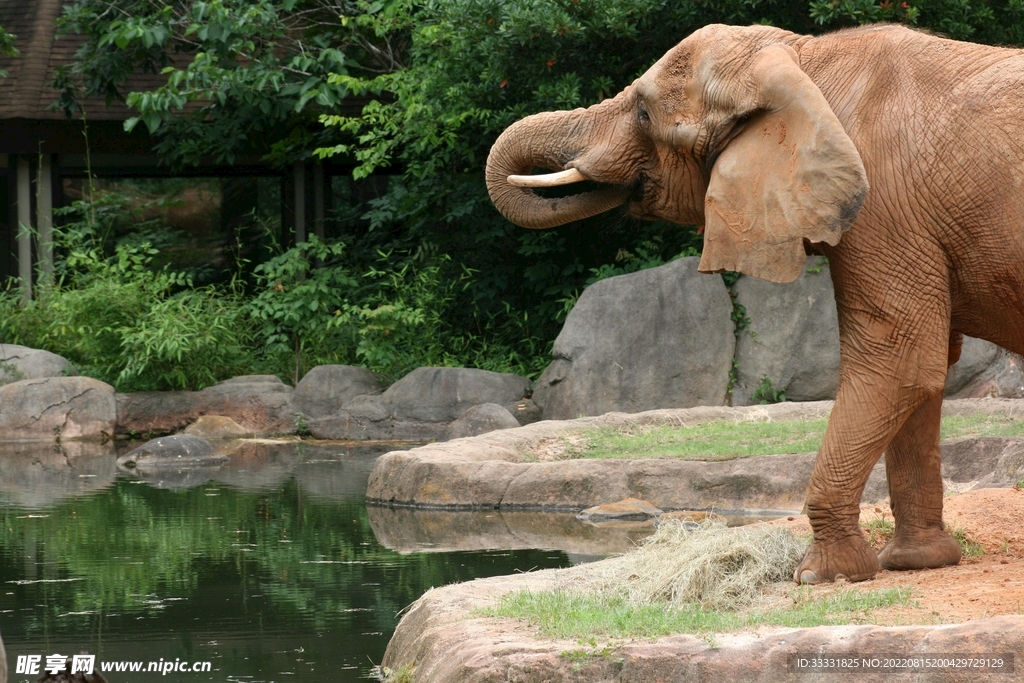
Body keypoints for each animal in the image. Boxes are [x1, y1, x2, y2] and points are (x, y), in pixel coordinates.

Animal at [485, 23, 1024, 584]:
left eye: (644, 114)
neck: (805, 58)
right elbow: (927, 368)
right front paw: (913, 563)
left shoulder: (882, 210)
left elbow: (900, 359)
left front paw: (821, 576)